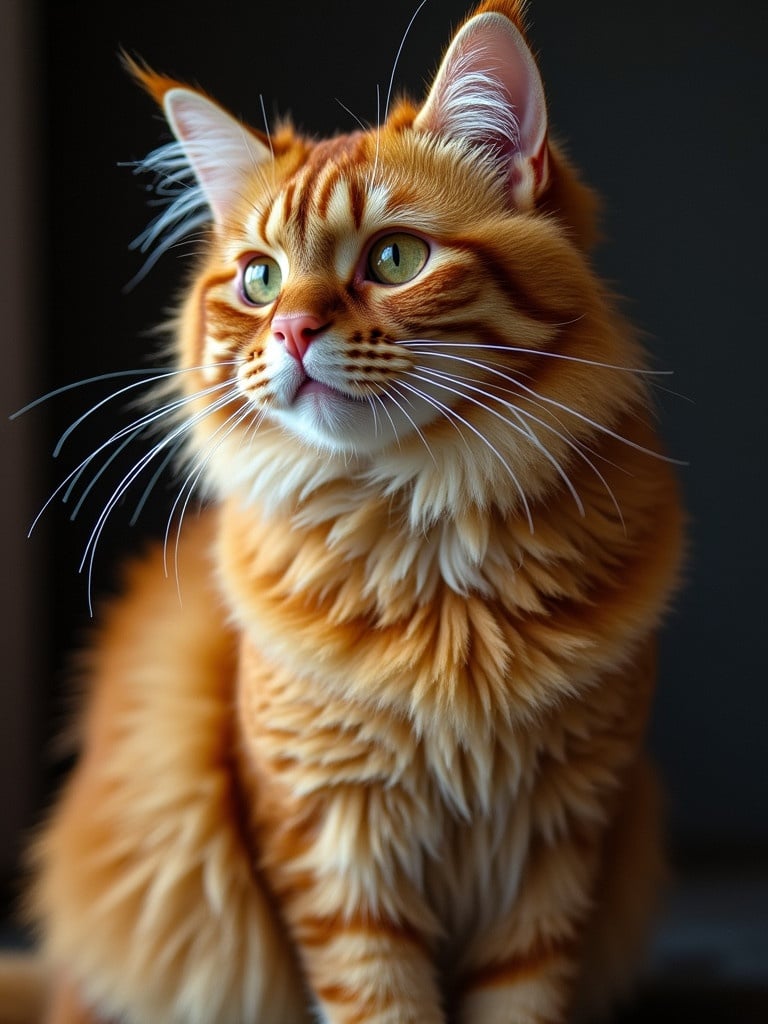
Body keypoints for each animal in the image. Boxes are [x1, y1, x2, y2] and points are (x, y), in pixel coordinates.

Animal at [12, 2, 684, 1024]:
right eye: (258, 279)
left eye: (393, 258)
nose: (291, 330)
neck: (421, 534)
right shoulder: (332, 844)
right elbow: (381, 1000)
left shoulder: (556, 841)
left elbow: (521, 996)